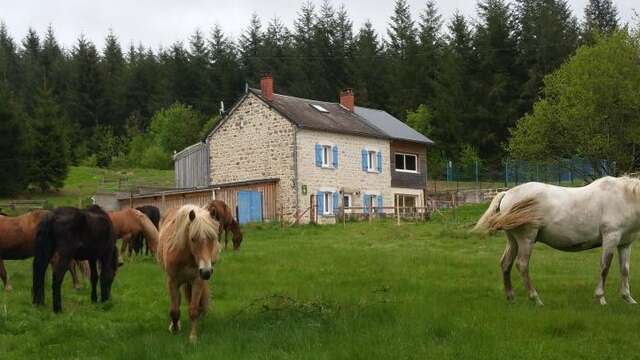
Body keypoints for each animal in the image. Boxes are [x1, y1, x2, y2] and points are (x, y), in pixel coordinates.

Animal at [156, 205, 221, 340]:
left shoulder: (197, 281)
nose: (206, 272)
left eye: (212, 238)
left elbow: (193, 309)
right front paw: (175, 329)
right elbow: (174, 310)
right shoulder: (172, 282)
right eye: (193, 239)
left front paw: (193, 336)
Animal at [470, 176, 640, 306]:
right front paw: (601, 298)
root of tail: (507, 193)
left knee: (506, 264)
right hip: (526, 238)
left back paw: (511, 297)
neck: (625, 198)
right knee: (522, 264)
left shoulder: (625, 244)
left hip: (513, 240)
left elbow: (625, 269)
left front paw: (628, 299)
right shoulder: (611, 238)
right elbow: (605, 267)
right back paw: (536, 299)